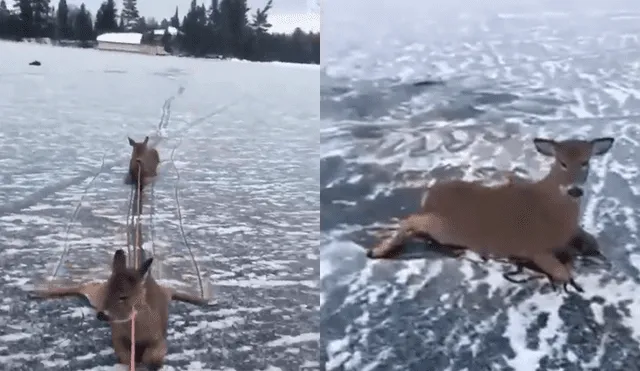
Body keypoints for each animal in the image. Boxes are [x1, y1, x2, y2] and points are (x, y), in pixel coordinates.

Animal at [31, 250, 208, 371]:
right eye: (109, 291)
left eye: (124, 296)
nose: (102, 314)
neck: (136, 331)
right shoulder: (117, 336)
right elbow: (124, 356)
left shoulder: (159, 338)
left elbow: (153, 356)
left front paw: (151, 363)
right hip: (95, 294)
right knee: (83, 286)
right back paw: (37, 293)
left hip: (166, 294)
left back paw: (204, 299)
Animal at [370, 137, 616, 294]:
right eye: (561, 162)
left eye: (585, 162)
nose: (575, 190)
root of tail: (428, 194)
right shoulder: (535, 246)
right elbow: (563, 272)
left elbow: (591, 239)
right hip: (444, 226)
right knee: (410, 220)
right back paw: (378, 250)